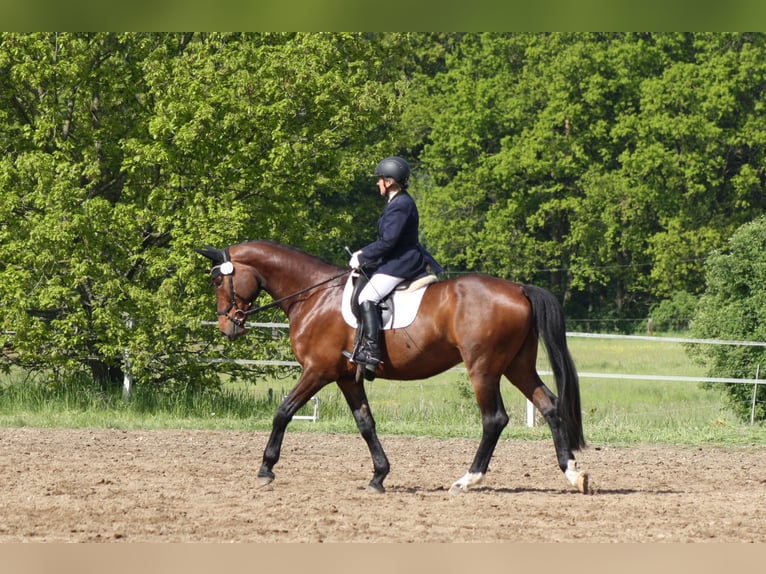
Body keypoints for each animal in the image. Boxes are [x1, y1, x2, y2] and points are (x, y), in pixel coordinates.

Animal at [197, 240, 590, 495]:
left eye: (217, 280)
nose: (227, 327)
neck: (313, 295)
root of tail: (519, 288)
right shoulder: (346, 377)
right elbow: (365, 423)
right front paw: (379, 476)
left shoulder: (318, 371)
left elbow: (283, 411)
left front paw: (266, 469)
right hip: (516, 366)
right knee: (550, 405)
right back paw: (573, 474)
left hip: (483, 368)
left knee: (494, 419)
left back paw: (467, 480)